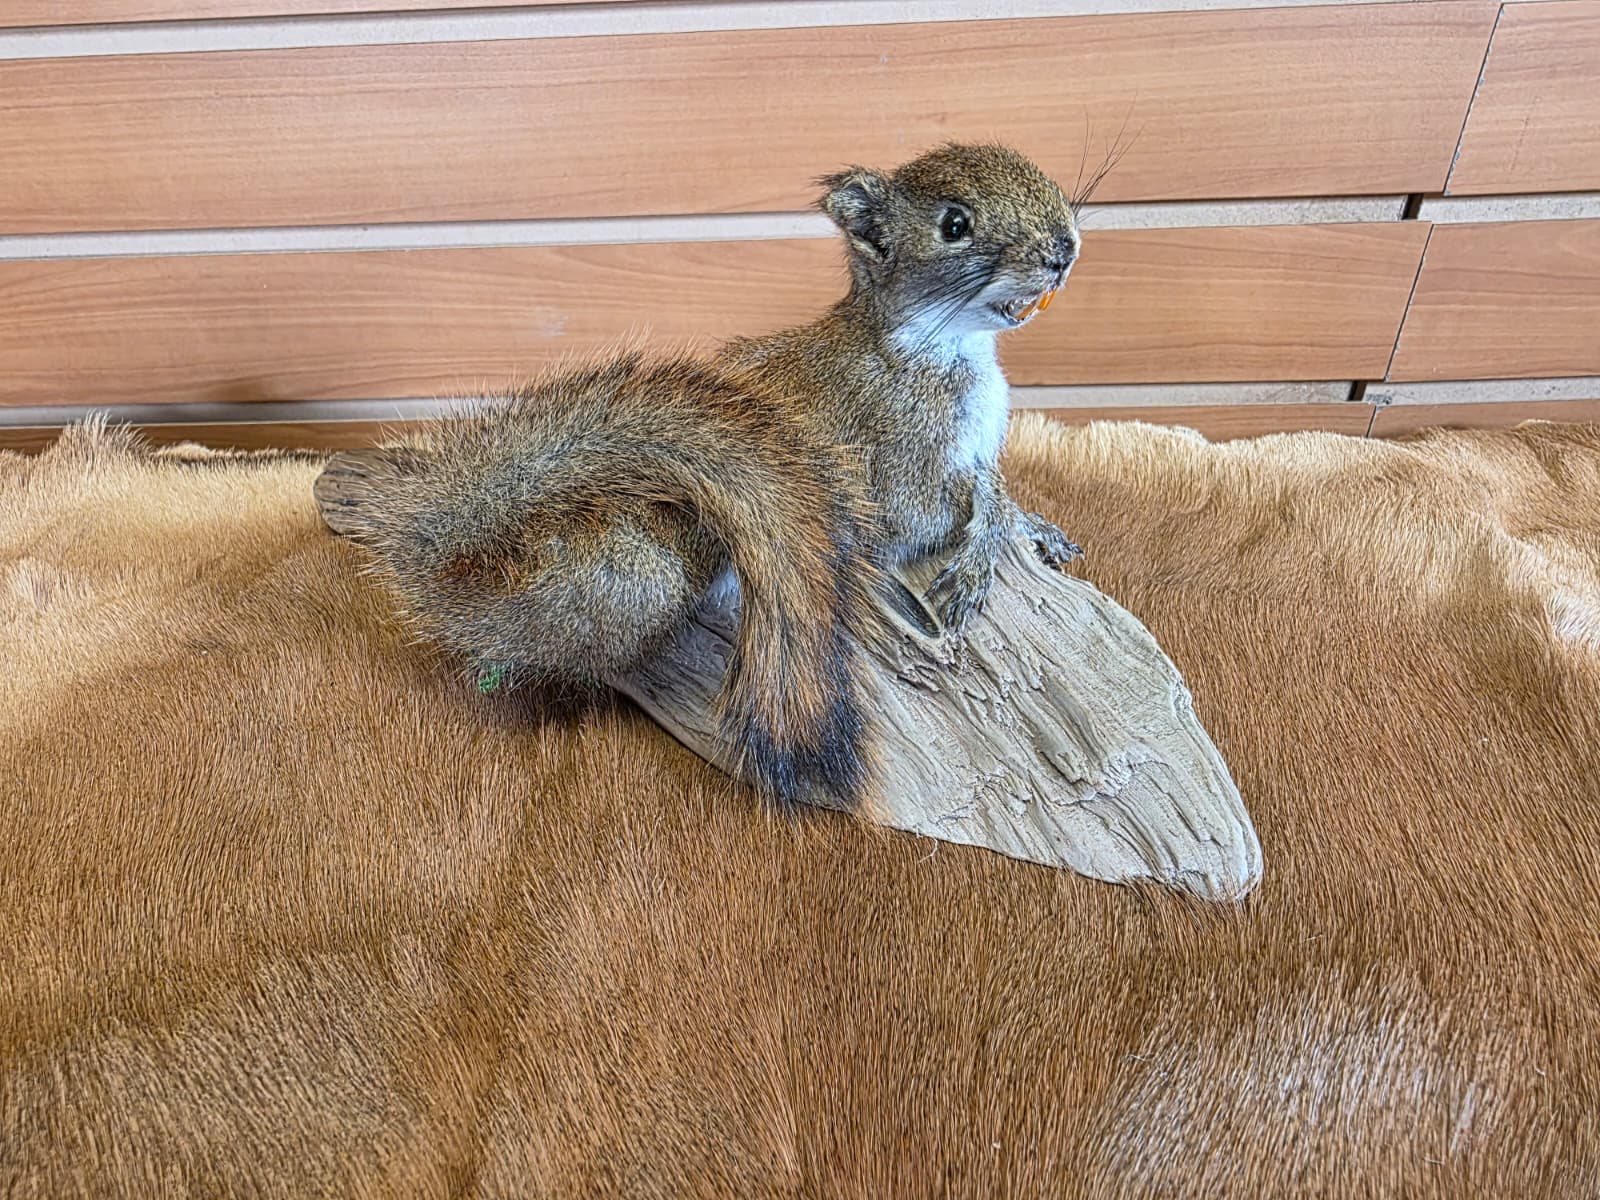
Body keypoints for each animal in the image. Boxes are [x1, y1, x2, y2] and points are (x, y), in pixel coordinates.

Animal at [320, 142, 1082, 807]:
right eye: (954, 224)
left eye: (1041, 173)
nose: (1064, 248)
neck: (942, 344)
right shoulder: (894, 465)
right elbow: (945, 513)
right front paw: (987, 550)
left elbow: (993, 489)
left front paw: (1035, 527)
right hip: (638, 577)